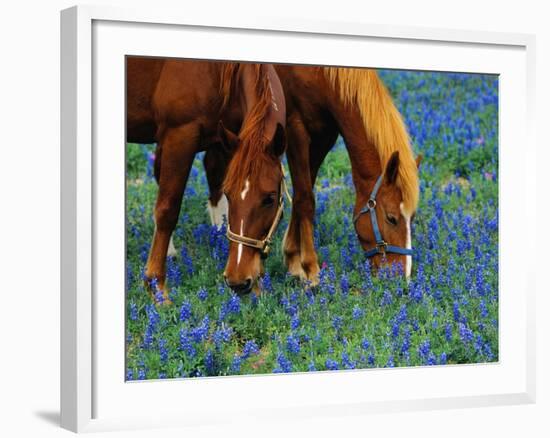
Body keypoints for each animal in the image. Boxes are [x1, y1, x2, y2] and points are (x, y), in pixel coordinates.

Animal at [127, 58, 286, 302]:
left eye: (270, 198)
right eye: (231, 195)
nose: (238, 281)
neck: (217, 69)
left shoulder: (226, 139)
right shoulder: (179, 135)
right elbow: (167, 210)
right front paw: (156, 286)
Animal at [205, 64, 420, 284]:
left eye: (412, 218)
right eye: (392, 218)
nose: (402, 277)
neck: (322, 73)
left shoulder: (324, 133)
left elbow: (304, 192)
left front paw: (293, 258)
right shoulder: (294, 127)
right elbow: (306, 198)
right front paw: (310, 268)